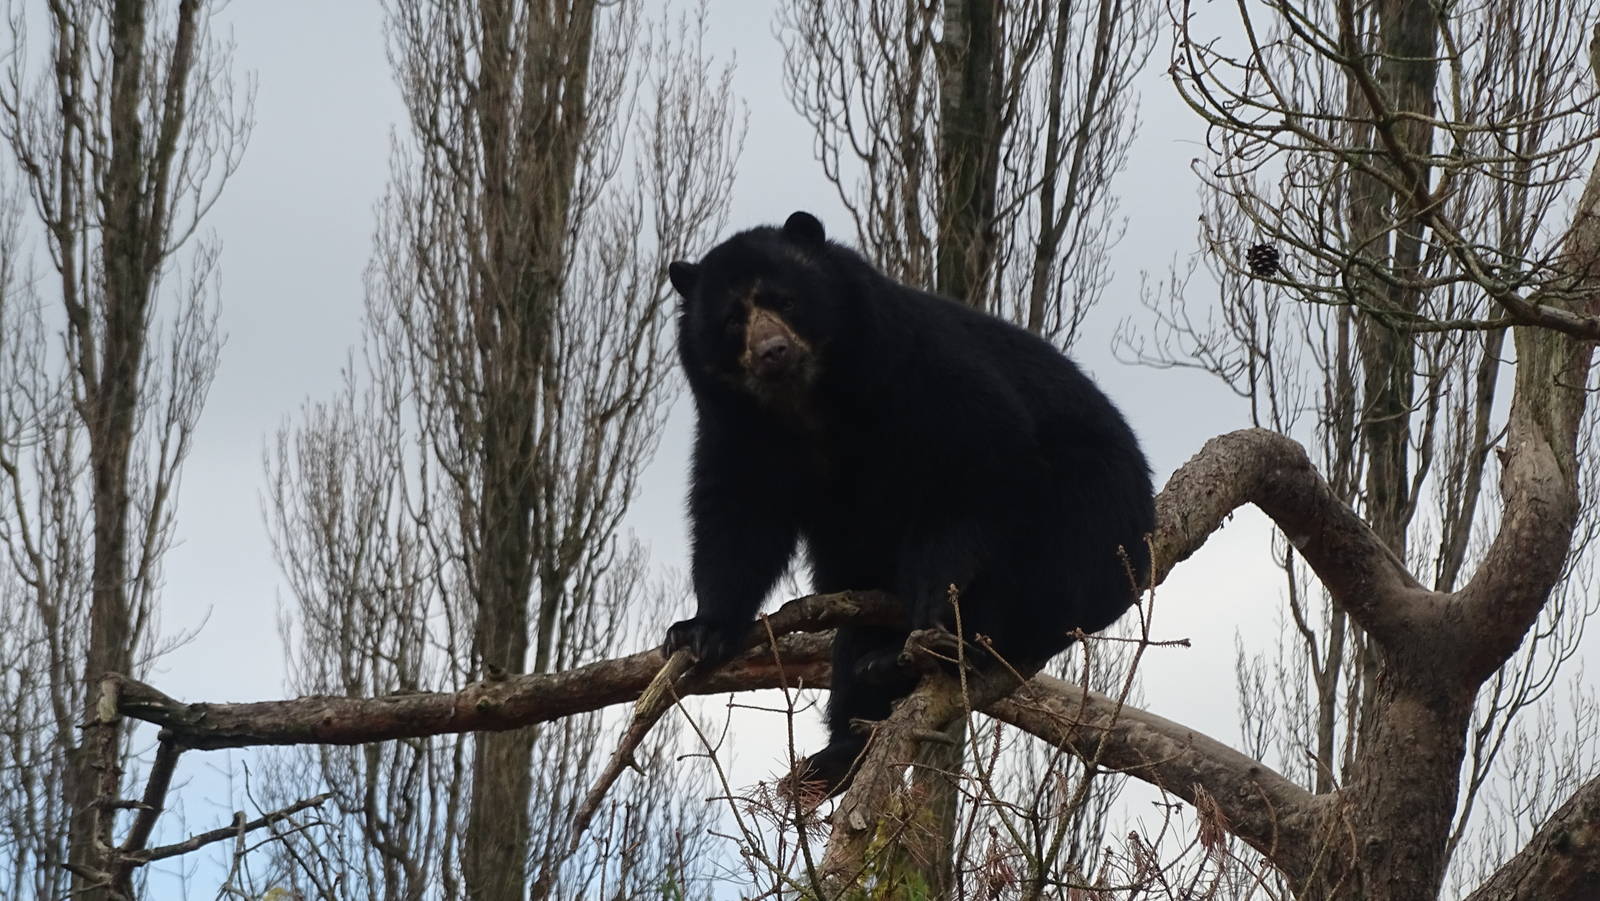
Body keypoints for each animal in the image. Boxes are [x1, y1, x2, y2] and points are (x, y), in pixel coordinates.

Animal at [662, 211, 1155, 795]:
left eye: (785, 300)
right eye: (733, 319)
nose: (772, 352)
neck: (808, 401)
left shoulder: (912, 369)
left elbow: (976, 461)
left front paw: (936, 614)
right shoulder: (738, 428)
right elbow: (738, 516)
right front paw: (700, 631)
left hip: (1086, 516)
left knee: (1032, 578)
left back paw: (929, 652)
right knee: (854, 636)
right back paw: (837, 749)